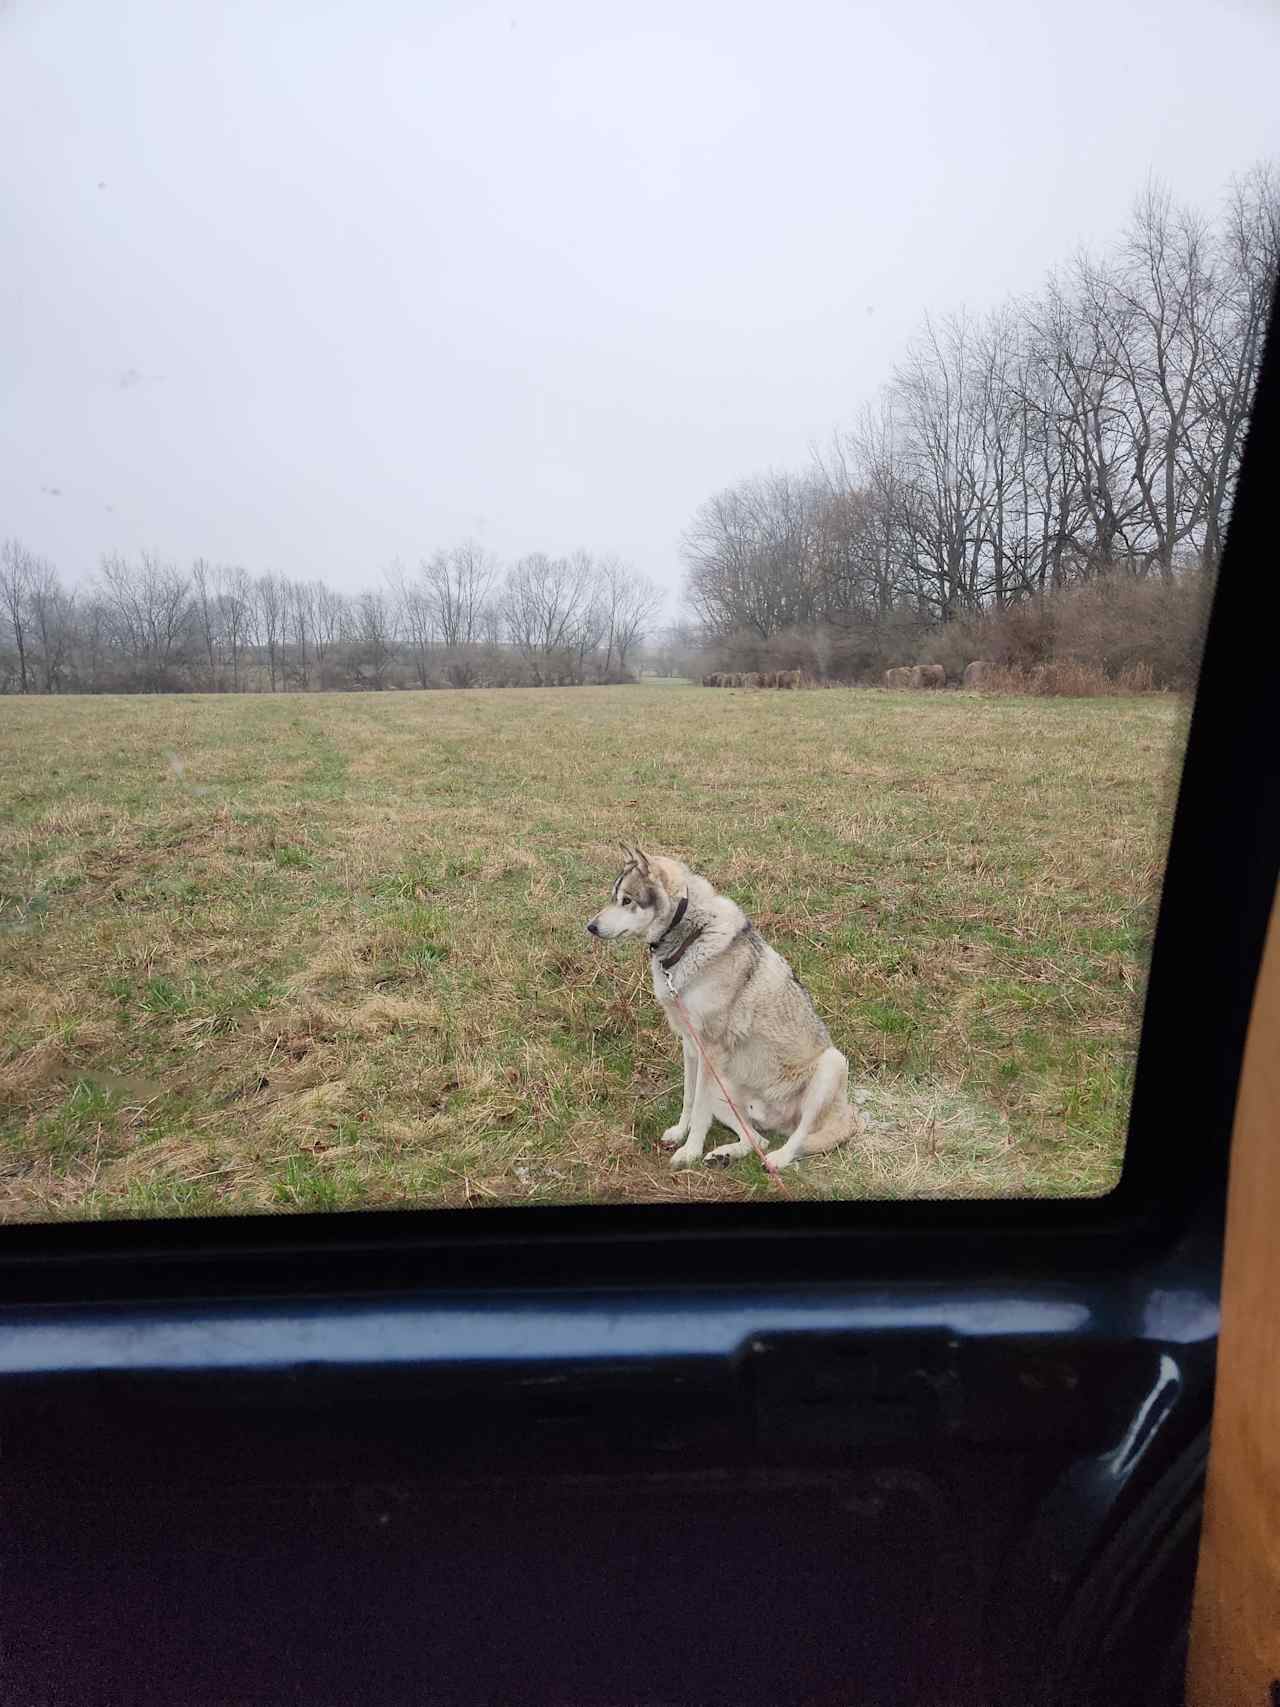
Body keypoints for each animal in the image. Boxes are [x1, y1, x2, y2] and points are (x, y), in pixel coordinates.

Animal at [590, 843, 863, 1167]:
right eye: (614, 897)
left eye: (627, 900)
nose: (590, 927)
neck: (691, 937)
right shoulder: (691, 1047)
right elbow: (689, 1099)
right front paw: (680, 1135)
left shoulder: (709, 1050)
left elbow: (698, 1112)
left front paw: (690, 1153)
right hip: (724, 1089)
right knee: (756, 1139)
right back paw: (724, 1154)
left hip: (832, 1064)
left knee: (797, 1137)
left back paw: (777, 1159)